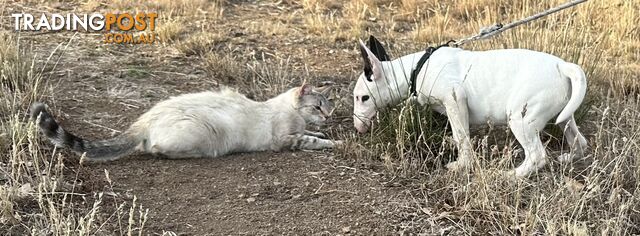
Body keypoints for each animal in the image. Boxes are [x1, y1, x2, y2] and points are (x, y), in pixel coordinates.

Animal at [352, 36, 588, 178]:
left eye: (363, 98)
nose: (357, 127)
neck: (415, 70)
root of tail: (562, 66)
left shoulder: (455, 99)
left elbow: (461, 136)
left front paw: (462, 165)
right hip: (564, 118)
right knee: (579, 141)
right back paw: (569, 157)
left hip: (521, 120)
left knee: (537, 156)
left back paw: (510, 176)